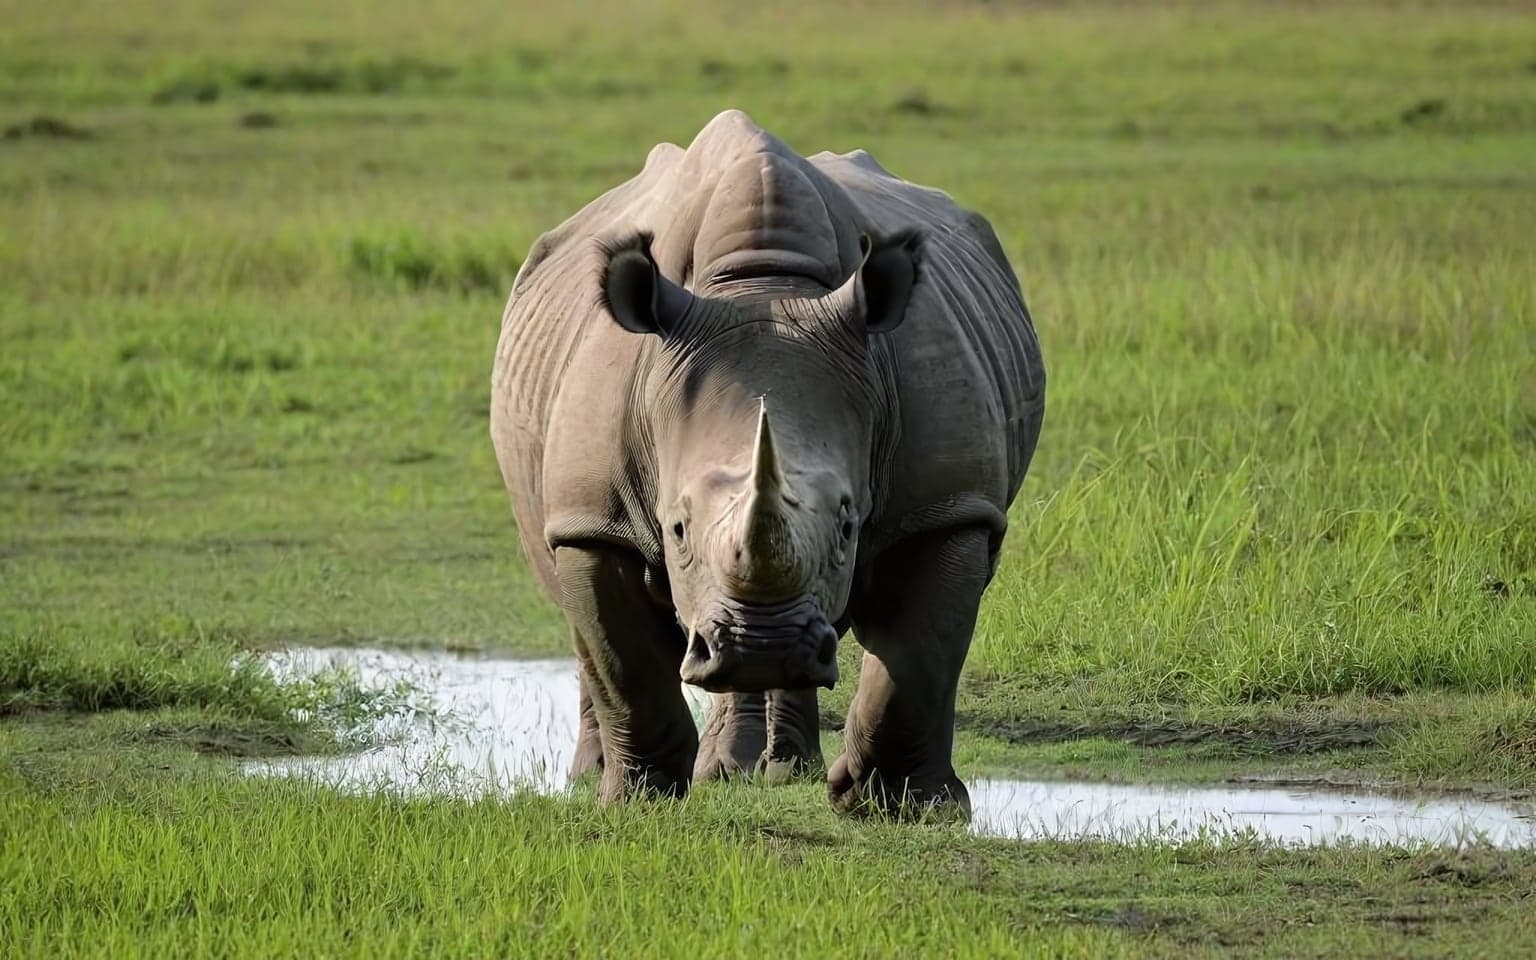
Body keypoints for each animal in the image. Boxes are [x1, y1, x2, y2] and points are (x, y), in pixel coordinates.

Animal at [490, 110, 1045, 815]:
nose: (762, 643)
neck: (761, 283)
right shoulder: (594, 516)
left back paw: (774, 765)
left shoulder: (946, 507)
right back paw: (616, 773)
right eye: (676, 529)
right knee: (574, 607)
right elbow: (624, 661)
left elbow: (919, 658)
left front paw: (903, 808)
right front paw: (641, 799)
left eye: (848, 525)